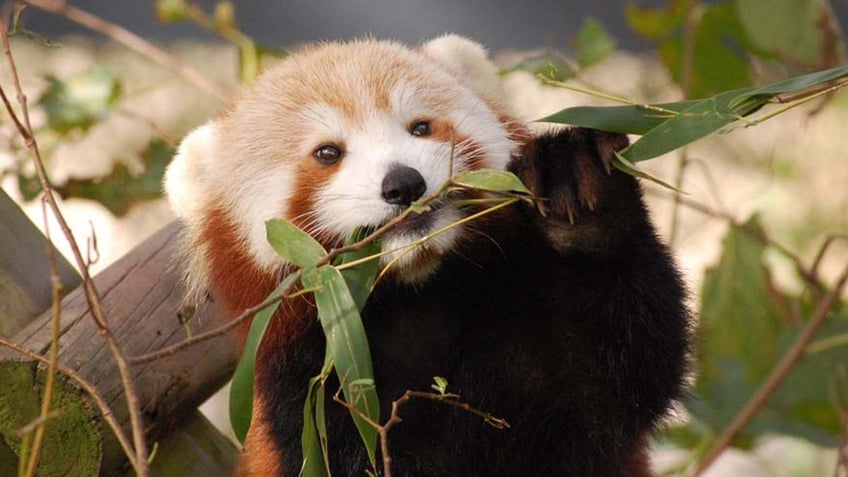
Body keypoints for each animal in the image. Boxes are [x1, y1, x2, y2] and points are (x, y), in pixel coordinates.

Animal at [164, 34, 688, 476]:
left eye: (420, 127)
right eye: (328, 153)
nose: (403, 183)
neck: (414, 296)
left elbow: (615, 377)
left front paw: (573, 183)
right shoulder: (312, 390)